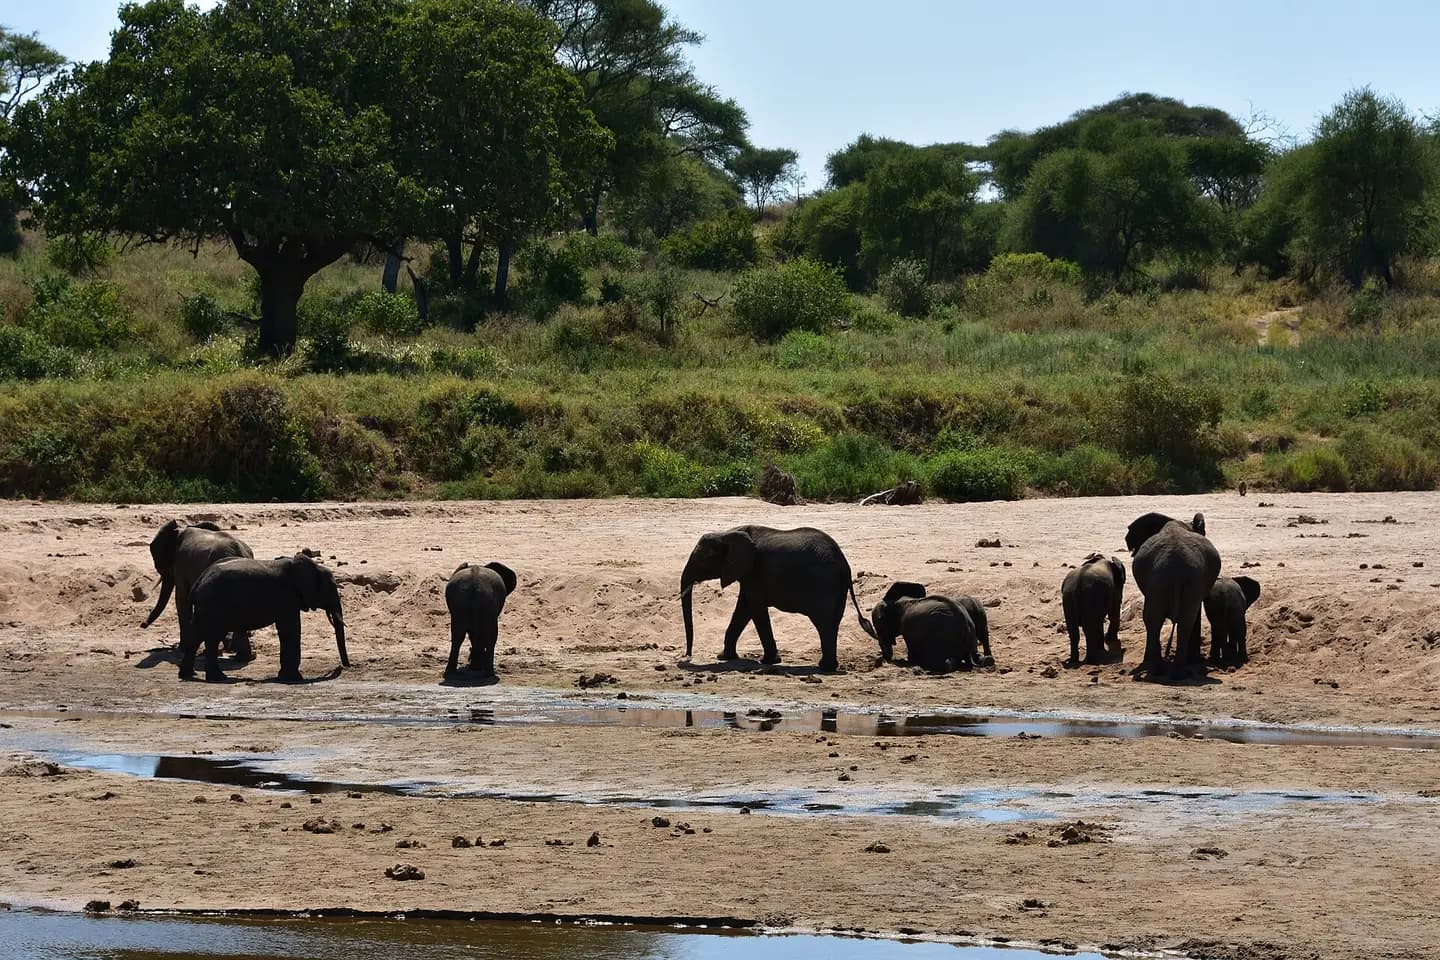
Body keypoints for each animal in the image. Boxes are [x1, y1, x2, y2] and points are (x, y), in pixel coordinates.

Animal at [183, 554, 348, 683]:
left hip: (206, 606)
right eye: (330, 588)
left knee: (197, 636)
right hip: (213, 605)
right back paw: (218, 678)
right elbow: (290, 630)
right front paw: (294, 678)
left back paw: (189, 675)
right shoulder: (287, 597)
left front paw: (285, 677)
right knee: (212, 637)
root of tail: (198, 582)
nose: (346, 666)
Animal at [679, 525, 875, 672]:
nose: (688, 656)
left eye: (703, 560)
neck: (728, 532)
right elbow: (744, 608)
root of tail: (845, 566)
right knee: (832, 623)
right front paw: (725, 657)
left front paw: (769, 661)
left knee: (824, 623)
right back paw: (827, 666)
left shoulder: (756, 572)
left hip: (825, 585)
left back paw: (825, 668)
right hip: (837, 589)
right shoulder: (749, 574)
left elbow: (754, 608)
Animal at [1126, 512, 1221, 677]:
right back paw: (1173, 670)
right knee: (1182, 621)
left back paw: (1162, 669)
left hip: (1166, 582)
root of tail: (1177, 569)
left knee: (1156, 619)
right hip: (1178, 582)